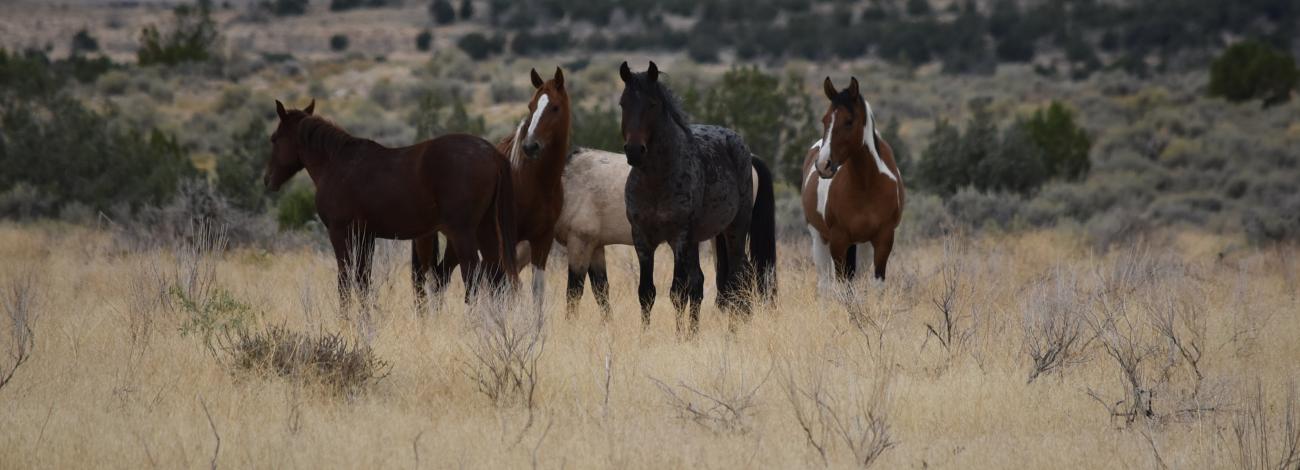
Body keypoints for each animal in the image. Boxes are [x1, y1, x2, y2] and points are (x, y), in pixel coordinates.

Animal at [263, 97, 517, 314]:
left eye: (274, 139)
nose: (268, 180)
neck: (336, 163)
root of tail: (491, 153)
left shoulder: (339, 232)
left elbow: (345, 278)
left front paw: (345, 319)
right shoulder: (365, 236)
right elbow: (363, 279)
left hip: (462, 232)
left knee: (472, 274)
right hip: (485, 229)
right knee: (495, 274)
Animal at [405, 67, 569, 314]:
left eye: (555, 107)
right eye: (531, 106)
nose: (530, 146)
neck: (534, 182)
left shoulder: (542, 239)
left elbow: (536, 291)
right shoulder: (507, 241)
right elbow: (506, 288)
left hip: (456, 239)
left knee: (441, 277)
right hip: (431, 238)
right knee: (428, 280)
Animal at [616, 61, 774, 334]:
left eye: (652, 104)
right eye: (623, 103)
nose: (635, 151)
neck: (656, 181)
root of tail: (748, 153)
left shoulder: (679, 238)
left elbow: (678, 292)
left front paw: (680, 337)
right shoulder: (642, 239)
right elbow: (646, 292)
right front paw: (647, 335)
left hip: (735, 229)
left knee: (739, 275)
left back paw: (733, 330)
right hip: (700, 240)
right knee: (702, 281)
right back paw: (698, 330)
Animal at [800, 76, 904, 297]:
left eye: (849, 121)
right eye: (825, 120)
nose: (823, 165)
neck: (866, 185)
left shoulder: (883, 239)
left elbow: (875, 287)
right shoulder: (839, 240)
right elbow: (842, 289)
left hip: (862, 246)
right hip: (819, 237)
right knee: (825, 285)